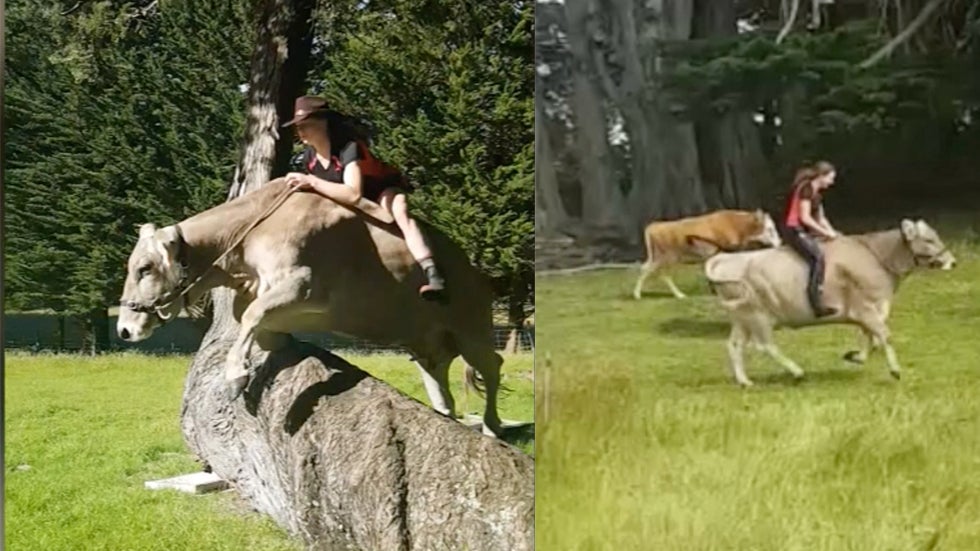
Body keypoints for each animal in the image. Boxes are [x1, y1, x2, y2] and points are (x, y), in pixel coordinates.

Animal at [116, 177, 504, 437]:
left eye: (145, 268)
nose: (123, 328)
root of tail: (475, 273)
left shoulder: (304, 283)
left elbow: (253, 316)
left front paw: (236, 375)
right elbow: (256, 324)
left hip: (472, 330)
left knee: (493, 367)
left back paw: (491, 426)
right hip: (426, 346)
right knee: (441, 386)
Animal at [633, 209, 781, 300]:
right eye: (769, 229)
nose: (780, 242)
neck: (735, 225)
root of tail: (655, 225)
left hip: (658, 258)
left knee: (646, 269)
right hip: (668, 258)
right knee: (662, 274)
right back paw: (677, 294)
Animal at [702, 219, 956, 386]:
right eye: (928, 239)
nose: (952, 262)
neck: (875, 256)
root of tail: (723, 260)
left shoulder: (868, 312)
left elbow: (871, 339)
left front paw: (855, 356)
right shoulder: (867, 308)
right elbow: (884, 336)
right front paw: (895, 371)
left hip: (742, 319)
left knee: (735, 345)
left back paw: (745, 381)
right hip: (758, 316)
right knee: (765, 346)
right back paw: (797, 372)